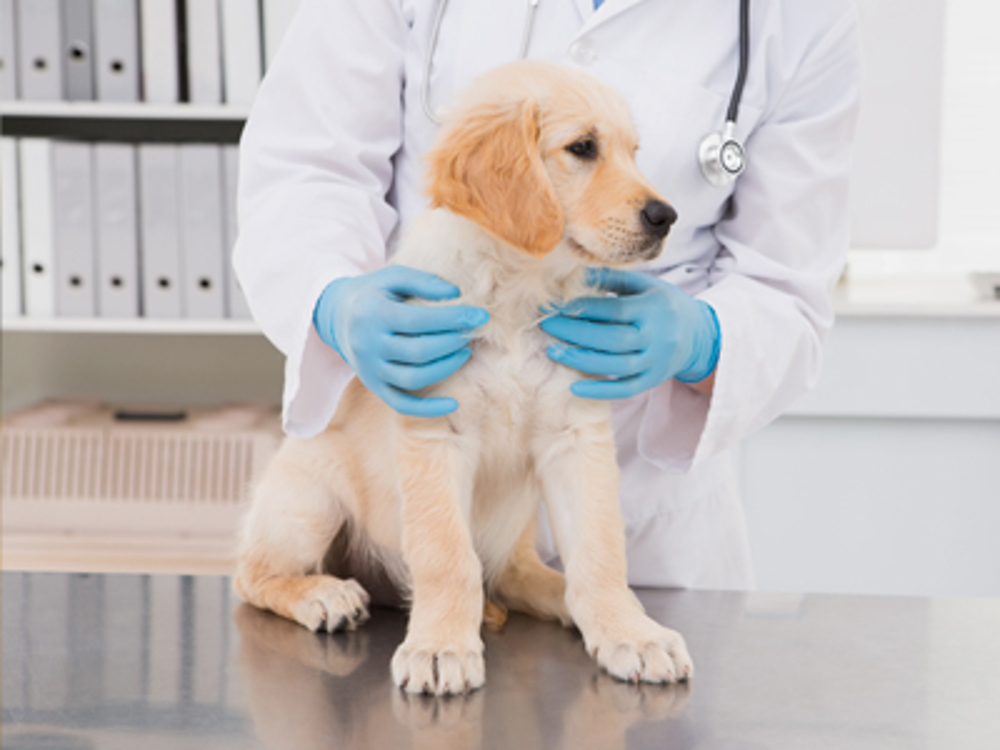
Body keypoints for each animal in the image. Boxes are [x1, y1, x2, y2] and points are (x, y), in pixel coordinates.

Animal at [236, 60, 696, 700]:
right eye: (583, 147)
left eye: (633, 152)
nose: (666, 218)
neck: (518, 292)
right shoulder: (435, 436)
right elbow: (447, 557)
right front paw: (440, 647)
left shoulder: (577, 440)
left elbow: (601, 552)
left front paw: (630, 630)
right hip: (309, 494)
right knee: (253, 574)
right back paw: (323, 594)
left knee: (519, 575)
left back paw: (560, 600)